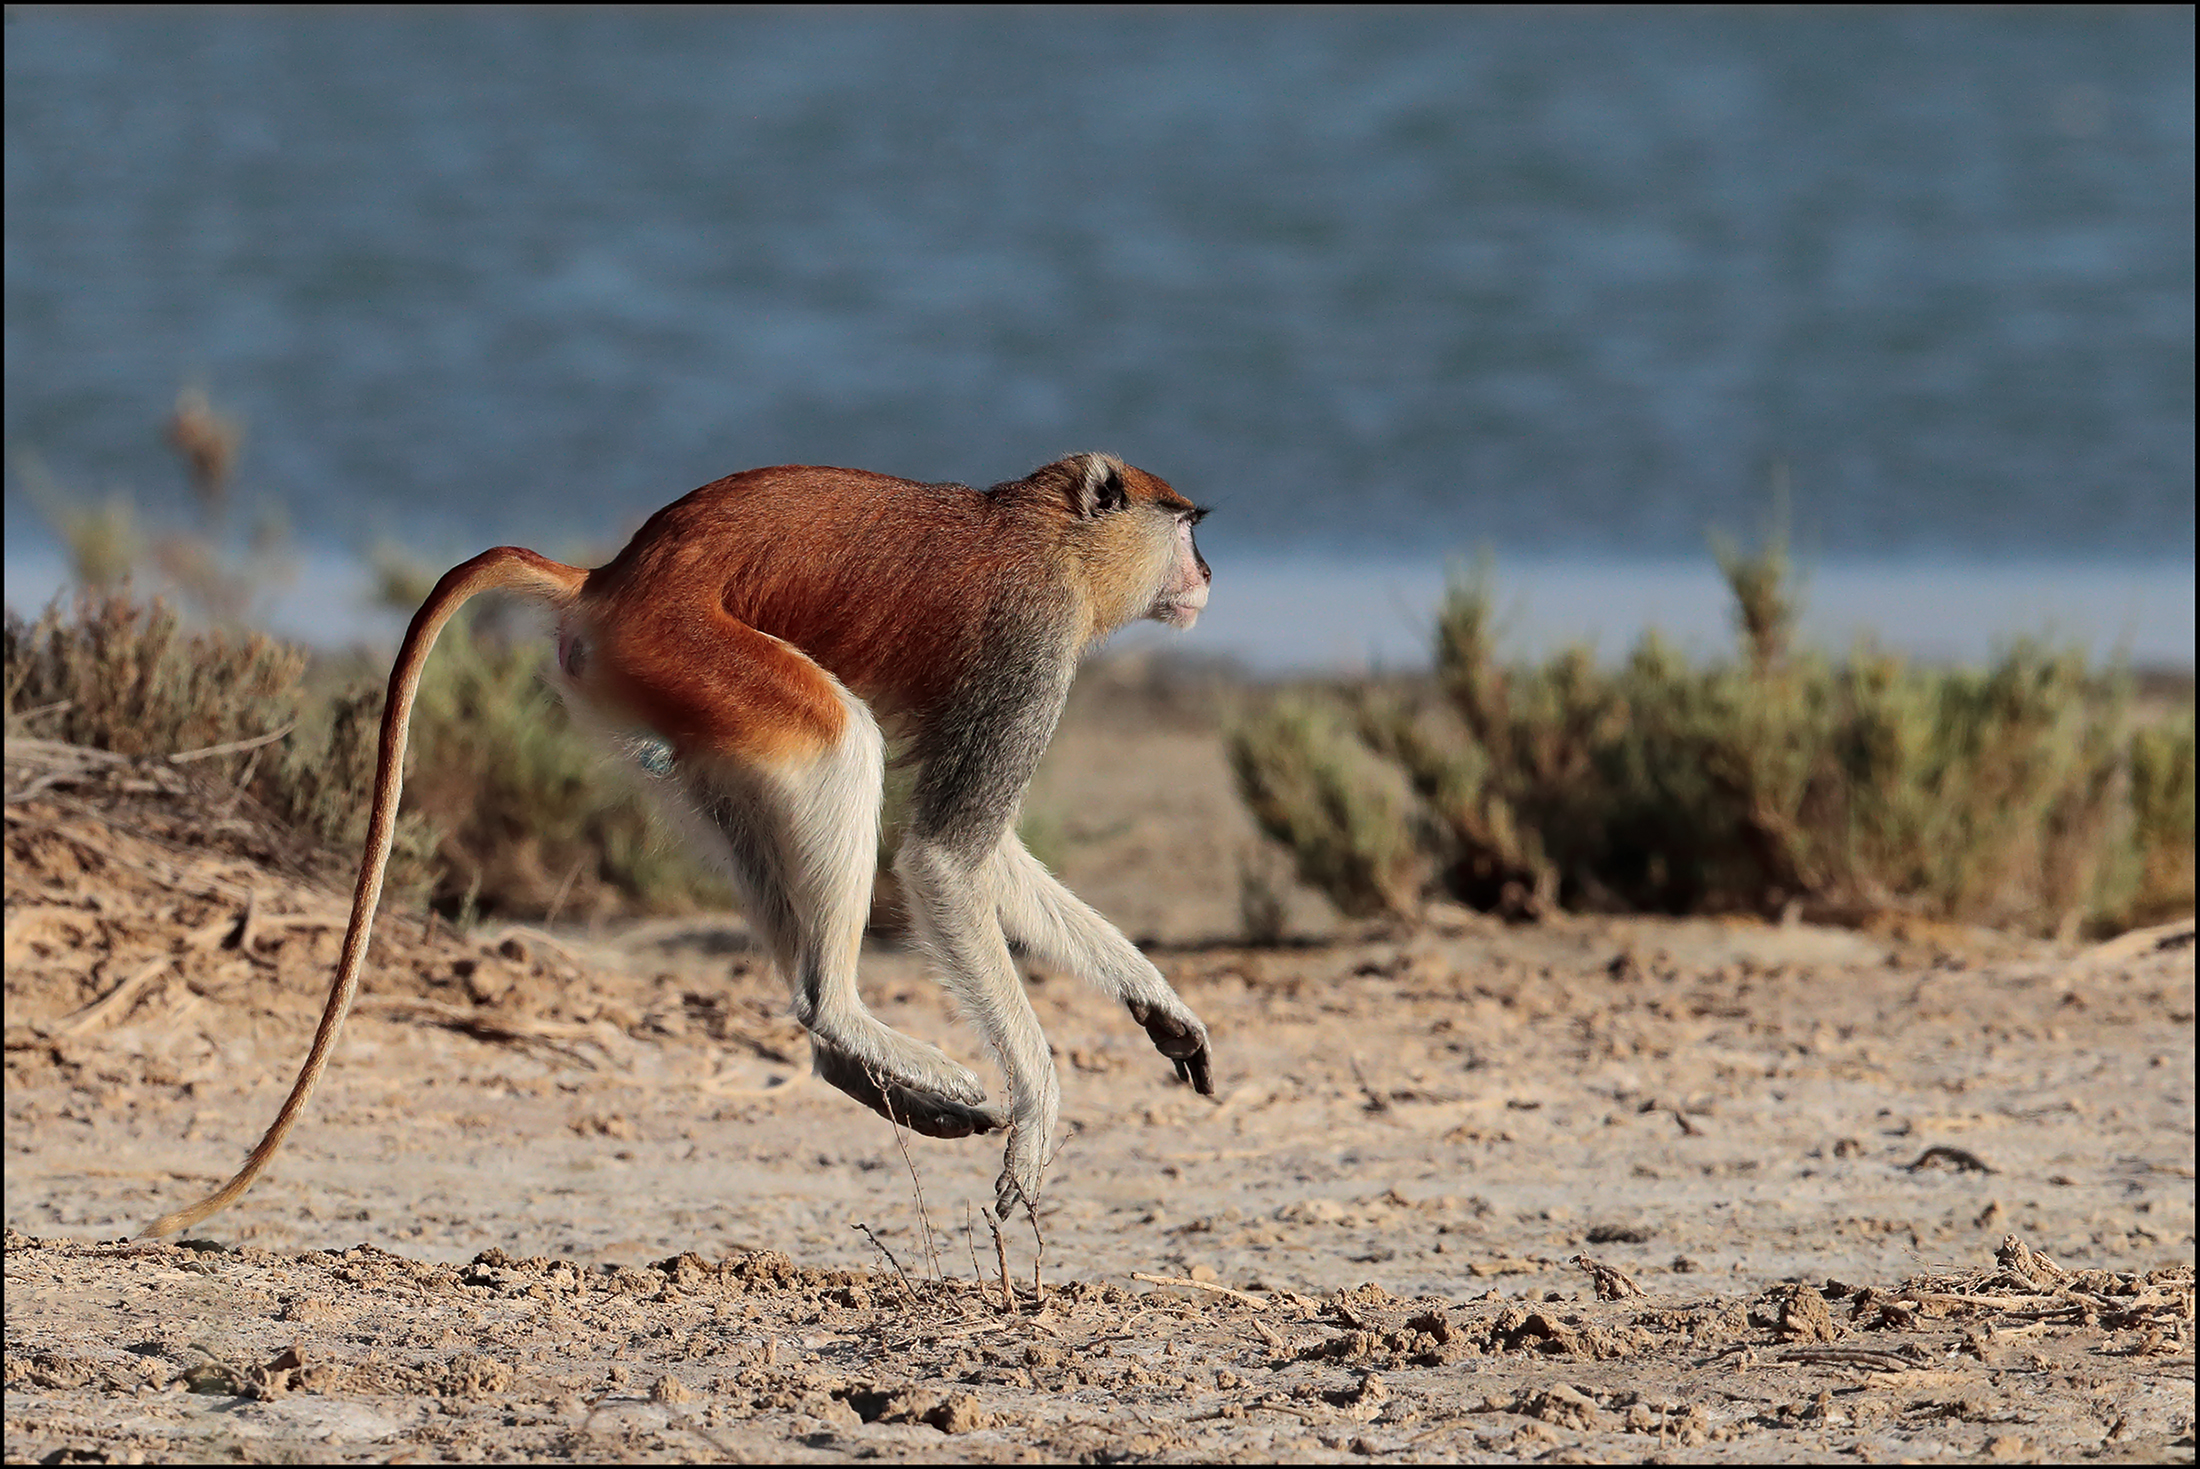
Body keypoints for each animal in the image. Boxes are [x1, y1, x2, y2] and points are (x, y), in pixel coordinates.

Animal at [141, 452, 1215, 1240]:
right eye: (1187, 523)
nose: (1207, 574)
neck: (1045, 532)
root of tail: (611, 575)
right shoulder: (1029, 642)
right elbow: (945, 858)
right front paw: (1037, 1121)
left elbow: (976, 857)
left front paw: (1161, 1007)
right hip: (690, 650)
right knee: (842, 742)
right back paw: (843, 1019)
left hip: (662, 691)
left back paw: (851, 1063)